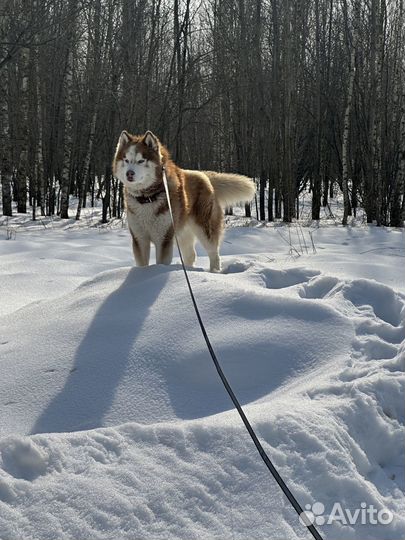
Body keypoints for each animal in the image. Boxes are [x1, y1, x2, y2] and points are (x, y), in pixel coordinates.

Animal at [112, 131, 254, 274]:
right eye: (126, 160)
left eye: (141, 161)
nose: (129, 173)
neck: (147, 198)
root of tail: (205, 175)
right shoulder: (139, 238)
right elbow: (142, 264)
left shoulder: (164, 239)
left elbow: (161, 262)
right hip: (181, 232)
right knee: (191, 254)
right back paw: (188, 270)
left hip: (204, 228)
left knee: (214, 252)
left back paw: (214, 272)